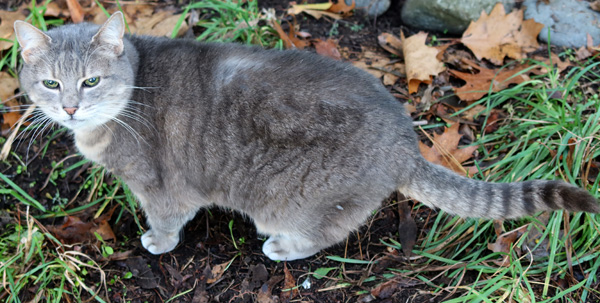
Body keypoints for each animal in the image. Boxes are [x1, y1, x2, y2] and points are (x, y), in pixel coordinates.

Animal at [14, 12, 600, 262]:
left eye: (91, 81)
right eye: (50, 83)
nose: (69, 108)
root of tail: (406, 144)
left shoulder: (163, 190)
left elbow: (166, 221)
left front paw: (157, 242)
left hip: (301, 204)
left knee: (324, 235)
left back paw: (282, 246)